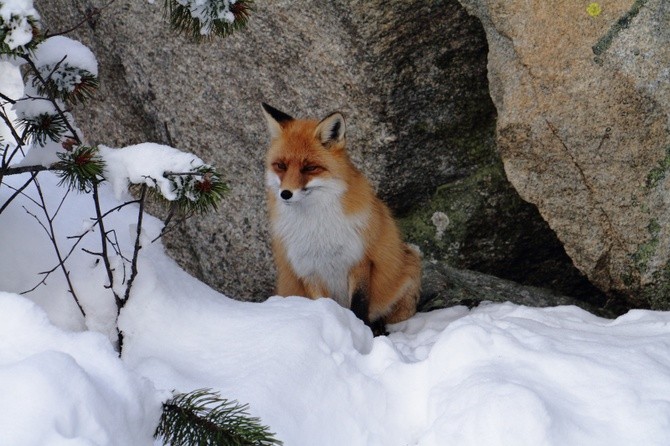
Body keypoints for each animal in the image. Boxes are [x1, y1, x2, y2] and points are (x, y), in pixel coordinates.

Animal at [262, 103, 420, 334]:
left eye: (310, 167)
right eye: (280, 166)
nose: (285, 194)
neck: (317, 227)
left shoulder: (359, 259)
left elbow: (359, 305)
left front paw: (364, 333)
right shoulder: (308, 269)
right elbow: (325, 304)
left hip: (410, 265)